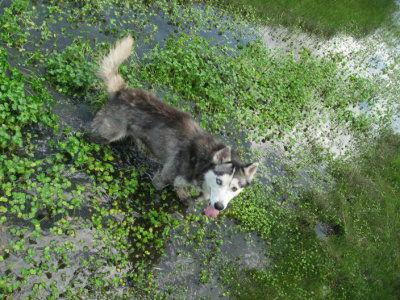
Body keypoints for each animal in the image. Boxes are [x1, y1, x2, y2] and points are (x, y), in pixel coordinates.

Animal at [90, 36, 260, 217]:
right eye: (219, 181)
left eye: (234, 188)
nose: (219, 206)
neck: (200, 162)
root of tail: (123, 91)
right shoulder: (163, 177)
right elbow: (161, 188)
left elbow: (194, 194)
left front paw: (187, 197)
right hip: (107, 133)